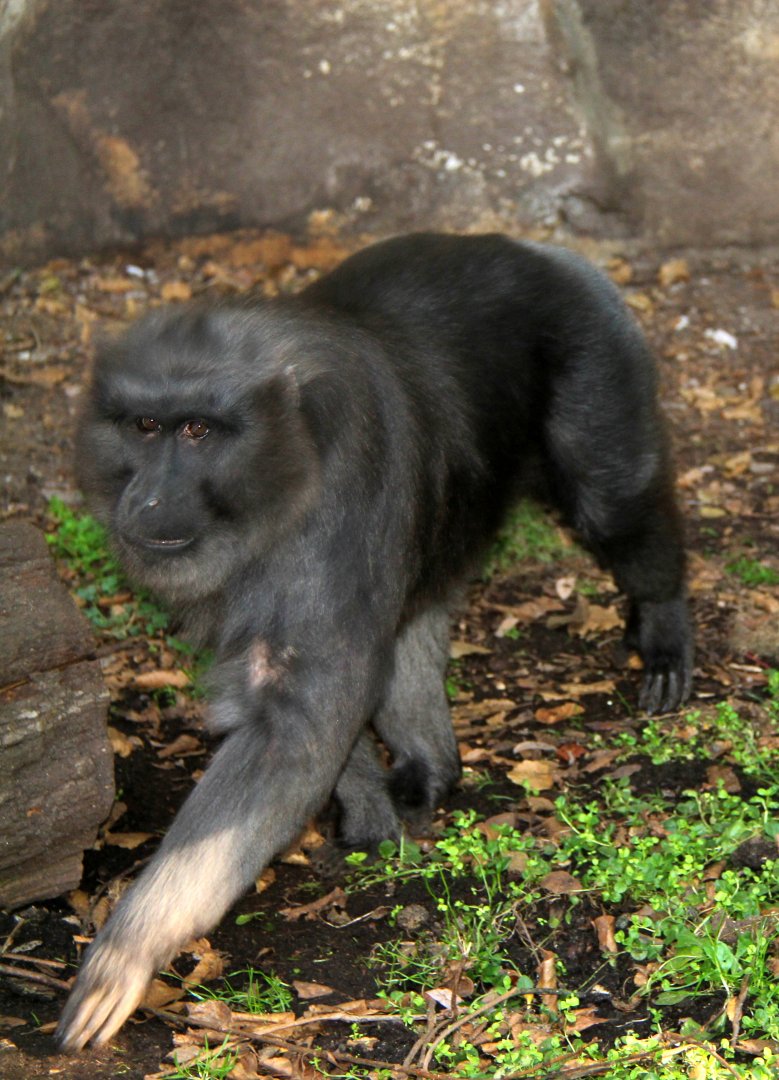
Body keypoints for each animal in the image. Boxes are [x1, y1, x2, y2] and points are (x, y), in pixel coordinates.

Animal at [56, 232, 692, 1051]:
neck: (288, 454)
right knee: (414, 609)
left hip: (601, 358)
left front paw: (130, 949)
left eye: (196, 430)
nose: (149, 497)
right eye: (143, 427)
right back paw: (432, 765)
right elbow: (314, 708)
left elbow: (301, 722)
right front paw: (368, 814)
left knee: (611, 499)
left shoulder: (338, 502)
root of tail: (545, 248)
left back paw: (664, 624)